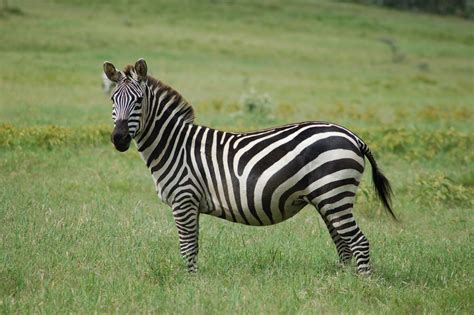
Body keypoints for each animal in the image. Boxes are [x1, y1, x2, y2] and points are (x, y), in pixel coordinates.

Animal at [104, 58, 396, 276]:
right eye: (112, 101)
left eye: (138, 101)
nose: (119, 139)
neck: (174, 145)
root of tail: (353, 136)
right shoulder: (192, 203)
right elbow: (194, 246)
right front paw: (194, 281)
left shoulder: (184, 199)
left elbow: (187, 248)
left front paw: (190, 284)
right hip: (327, 197)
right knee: (343, 242)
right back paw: (341, 280)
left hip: (334, 193)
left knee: (358, 241)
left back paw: (362, 285)